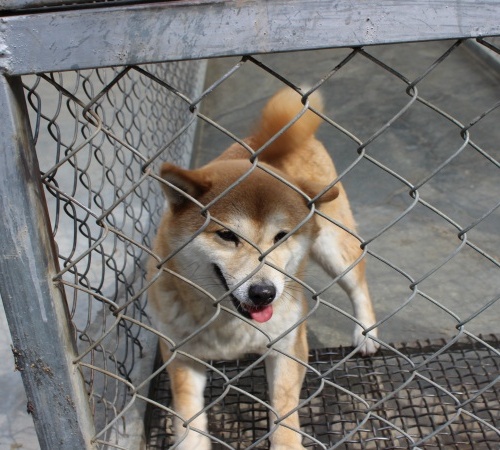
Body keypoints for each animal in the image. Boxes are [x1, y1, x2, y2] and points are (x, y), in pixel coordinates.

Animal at [148, 86, 378, 448]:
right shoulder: (181, 354)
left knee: (359, 285)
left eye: (281, 236)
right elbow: (188, 415)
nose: (263, 293)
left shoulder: (288, 346)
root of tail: (269, 144)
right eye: (227, 235)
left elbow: (284, 409)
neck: (229, 323)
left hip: (334, 249)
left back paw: (366, 332)